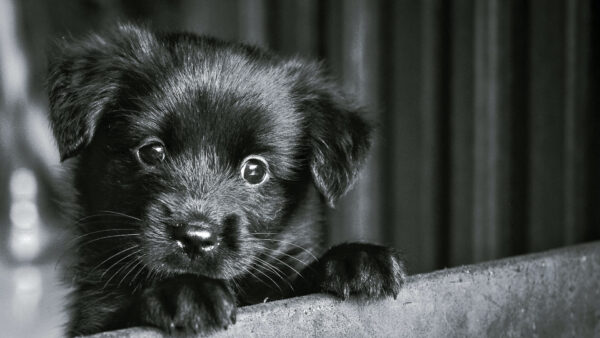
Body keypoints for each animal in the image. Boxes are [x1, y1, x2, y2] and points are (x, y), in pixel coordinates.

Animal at [45, 23, 404, 336]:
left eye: (255, 170)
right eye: (151, 151)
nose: (195, 237)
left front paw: (356, 259)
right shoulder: (93, 318)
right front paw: (186, 291)